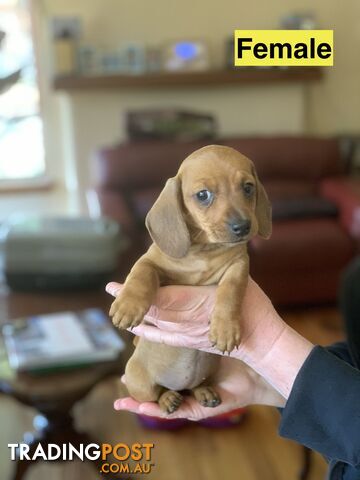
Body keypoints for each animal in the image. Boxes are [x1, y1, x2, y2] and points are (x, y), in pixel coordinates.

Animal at [108, 145, 272, 412]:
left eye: (248, 187)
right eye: (203, 195)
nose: (243, 227)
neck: (203, 251)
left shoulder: (238, 266)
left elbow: (231, 291)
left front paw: (226, 328)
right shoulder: (151, 262)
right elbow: (142, 273)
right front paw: (128, 305)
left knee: (194, 386)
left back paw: (202, 392)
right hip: (138, 381)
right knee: (154, 394)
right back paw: (167, 398)